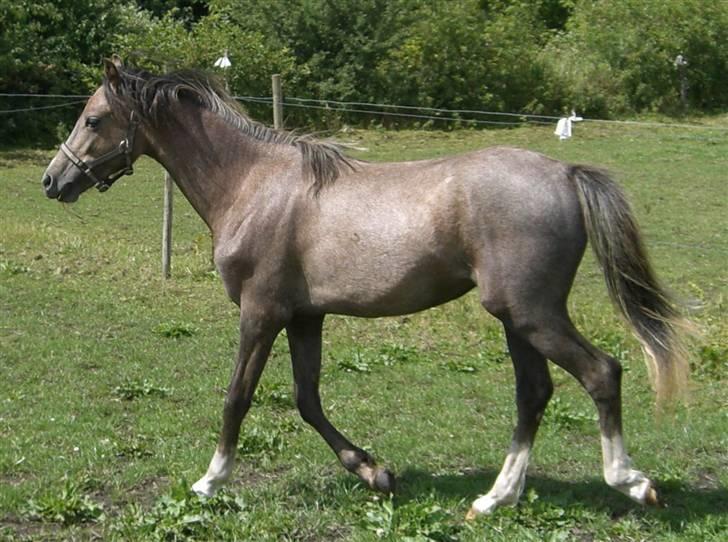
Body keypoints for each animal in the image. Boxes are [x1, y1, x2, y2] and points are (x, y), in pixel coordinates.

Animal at [41, 57, 688, 518]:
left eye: (94, 119)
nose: (54, 180)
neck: (252, 184)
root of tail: (566, 173)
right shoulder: (305, 316)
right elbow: (307, 399)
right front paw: (375, 472)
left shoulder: (261, 311)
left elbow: (237, 396)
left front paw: (209, 481)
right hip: (516, 319)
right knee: (534, 394)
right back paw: (493, 499)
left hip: (532, 314)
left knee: (602, 373)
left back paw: (633, 484)